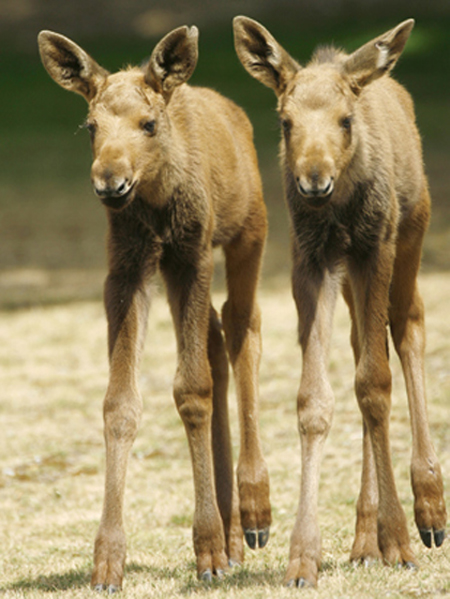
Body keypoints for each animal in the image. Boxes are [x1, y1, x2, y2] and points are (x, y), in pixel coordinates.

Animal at [38, 25, 270, 592]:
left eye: (148, 123)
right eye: (91, 125)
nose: (110, 181)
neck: (159, 202)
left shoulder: (191, 256)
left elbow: (191, 390)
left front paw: (206, 550)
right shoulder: (127, 268)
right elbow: (119, 403)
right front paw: (107, 562)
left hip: (249, 230)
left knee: (244, 328)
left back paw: (254, 512)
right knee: (216, 339)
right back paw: (235, 537)